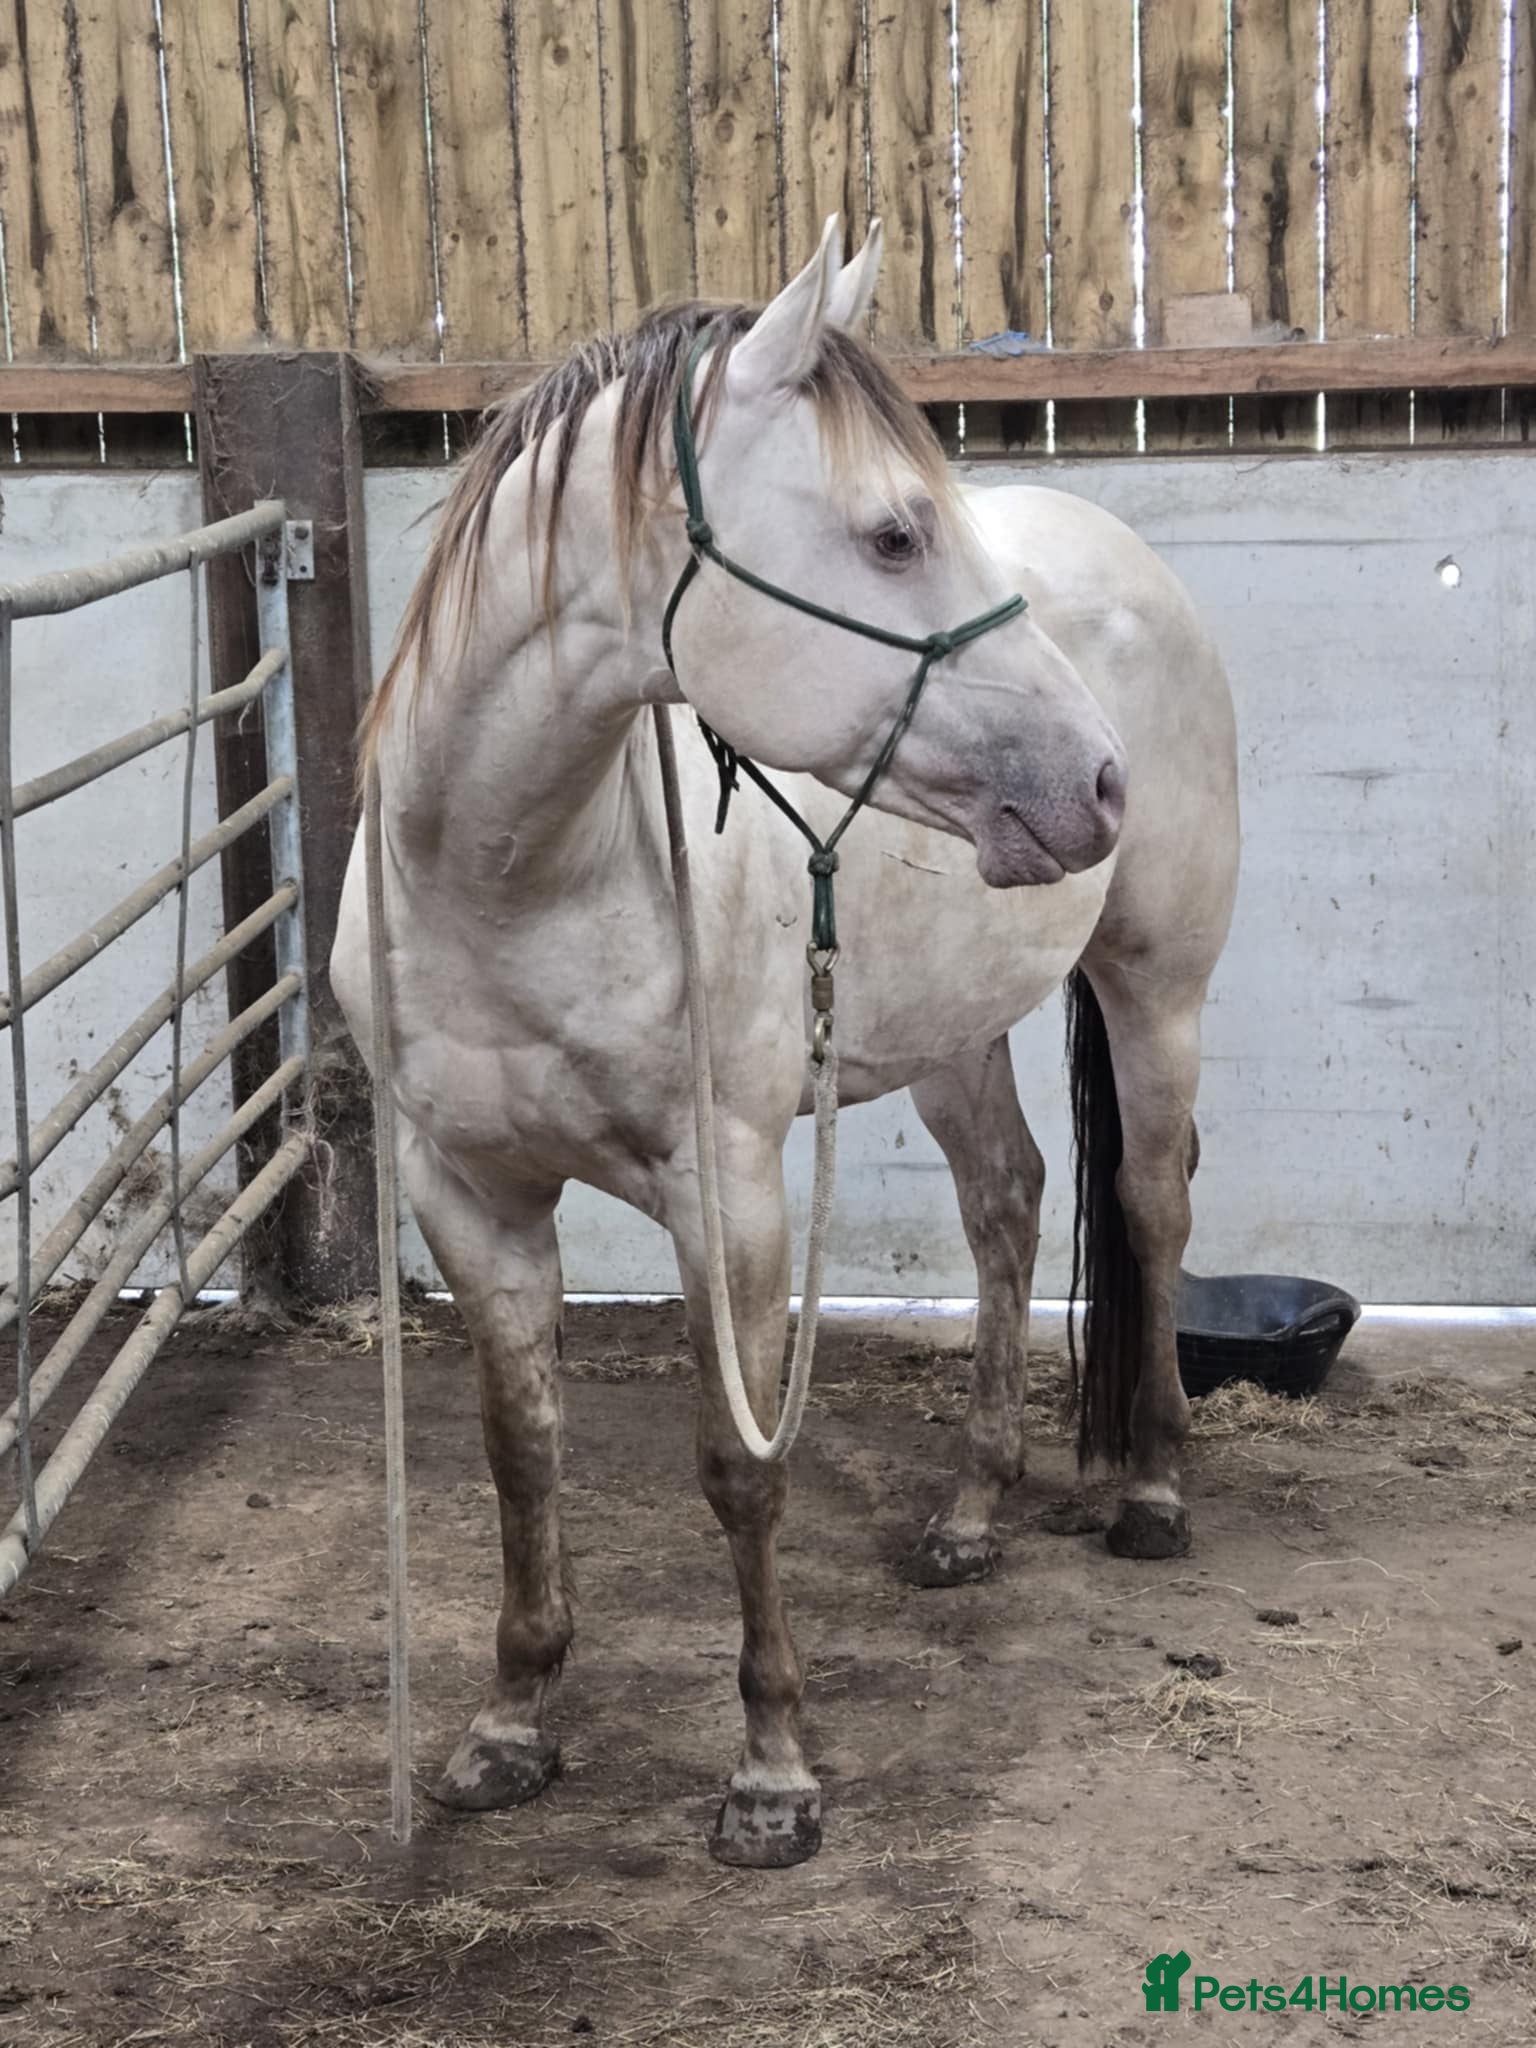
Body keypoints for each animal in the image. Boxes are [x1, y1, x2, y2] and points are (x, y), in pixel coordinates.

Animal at [331, 215, 1240, 1868]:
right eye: (891, 537)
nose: (1097, 781)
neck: (512, 876)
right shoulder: (467, 1194)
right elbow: (520, 1451)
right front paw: (510, 1722)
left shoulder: (730, 1196)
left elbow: (741, 1473)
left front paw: (771, 1770)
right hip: (947, 1028)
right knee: (1007, 1204)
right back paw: (971, 1512)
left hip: (1159, 990)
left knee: (1150, 1206)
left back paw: (1151, 1490)